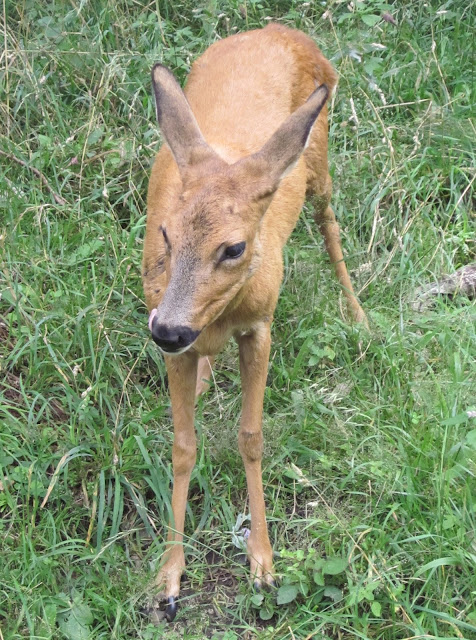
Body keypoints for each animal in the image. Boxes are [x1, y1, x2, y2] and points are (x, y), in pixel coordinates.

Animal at [143, 22, 366, 624]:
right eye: (166, 234)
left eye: (234, 248)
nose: (167, 331)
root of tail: (278, 29)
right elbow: (182, 444)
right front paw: (168, 578)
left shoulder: (260, 327)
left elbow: (252, 435)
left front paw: (263, 563)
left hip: (319, 156)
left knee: (330, 221)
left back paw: (360, 316)